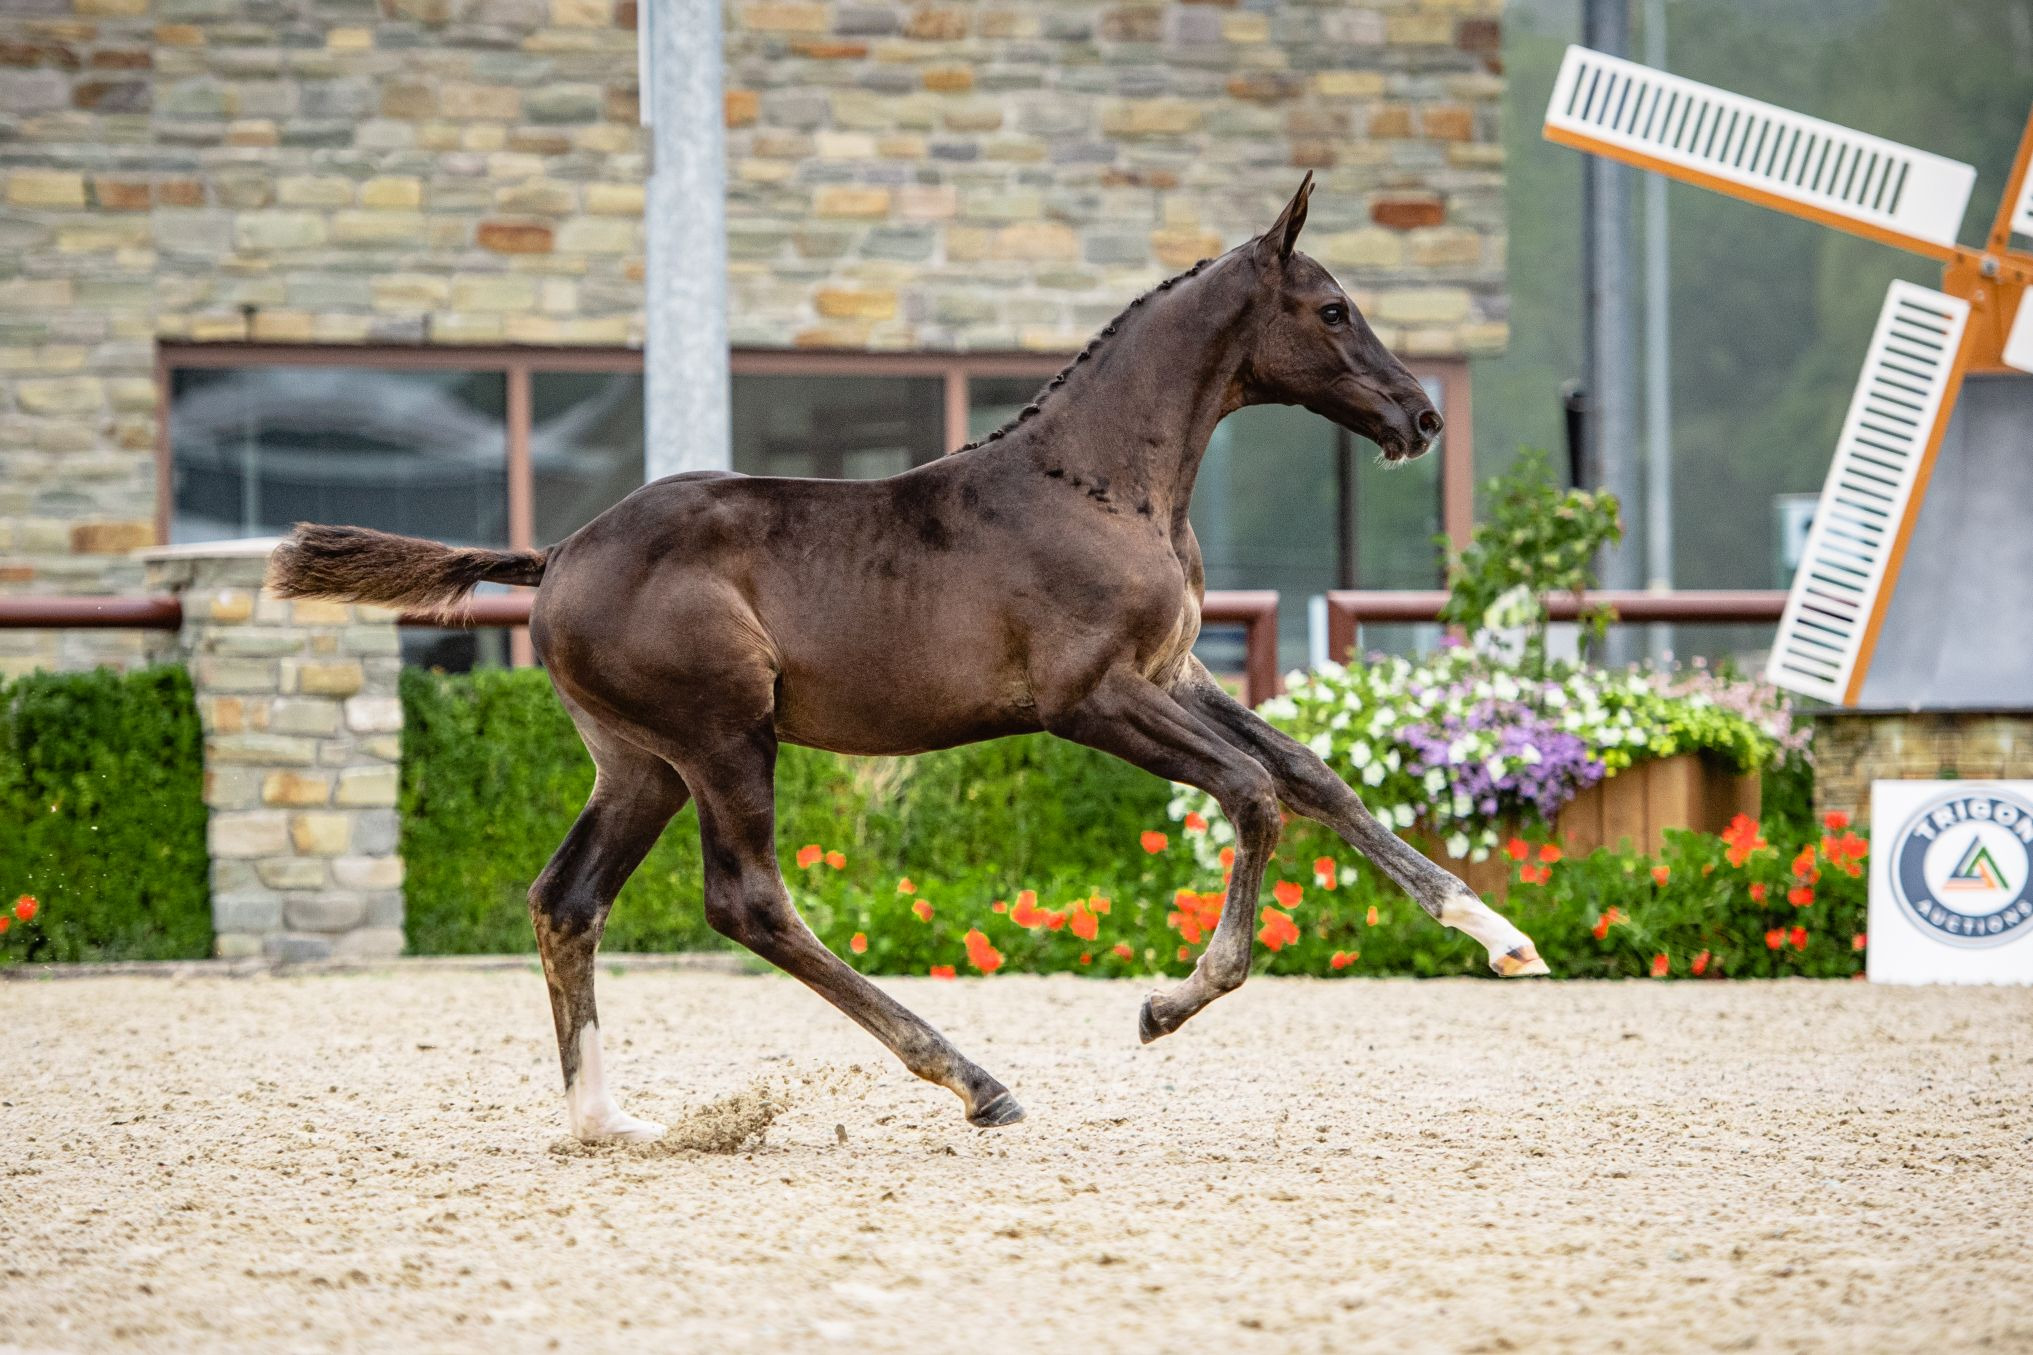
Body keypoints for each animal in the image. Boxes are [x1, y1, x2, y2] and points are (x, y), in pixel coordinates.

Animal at [268, 174, 1548, 1142]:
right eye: (1331, 308)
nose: (1420, 417)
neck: (1101, 481)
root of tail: (560, 551)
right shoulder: (1090, 697)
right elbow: (1250, 791)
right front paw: (1166, 1003)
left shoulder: (1173, 674)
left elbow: (1310, 777)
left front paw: (1501, 938)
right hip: (722, 736)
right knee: (748, 900)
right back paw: (972, 1079)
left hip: (637, 762)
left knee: (566, 898)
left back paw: (607, 1119)